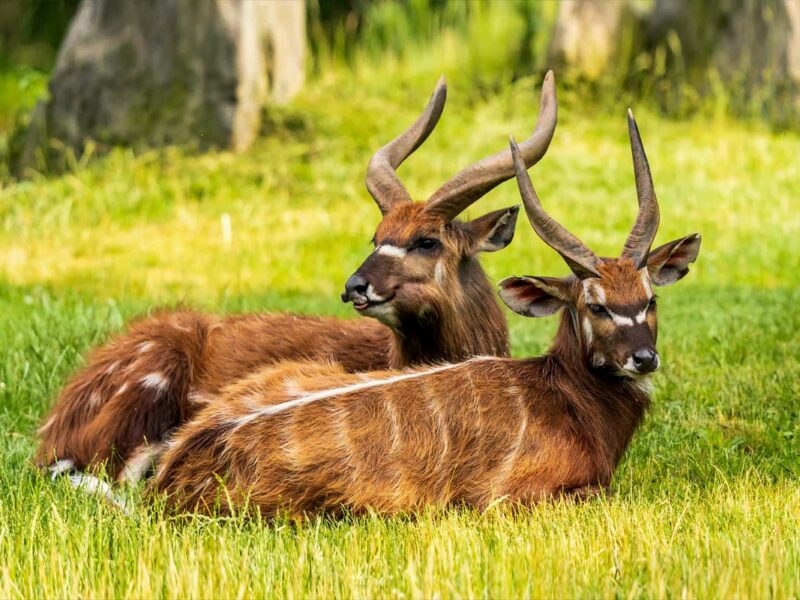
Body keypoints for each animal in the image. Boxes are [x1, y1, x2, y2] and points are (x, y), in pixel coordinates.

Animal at [152, 110, 701, 517]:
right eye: (595, 304)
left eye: (650, 299)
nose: (644, 359)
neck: (562, 396)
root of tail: (169, 475)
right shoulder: (513, 498)